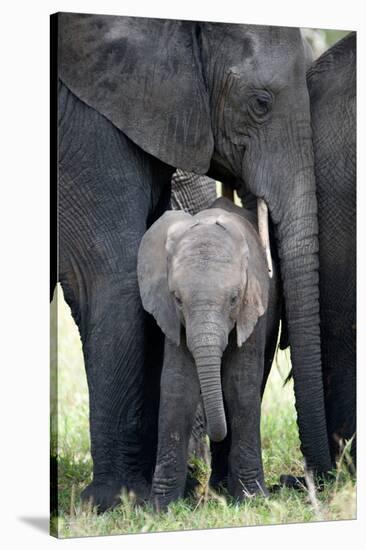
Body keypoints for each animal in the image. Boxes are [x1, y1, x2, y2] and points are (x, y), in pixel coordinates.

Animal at [137, 198, 278, 512]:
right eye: (177, 299)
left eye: (234, 298)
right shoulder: (172, 317)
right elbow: (178, 386)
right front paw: (160, 509)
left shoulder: (254, 305)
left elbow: (241, 385)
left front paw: (253, 500)